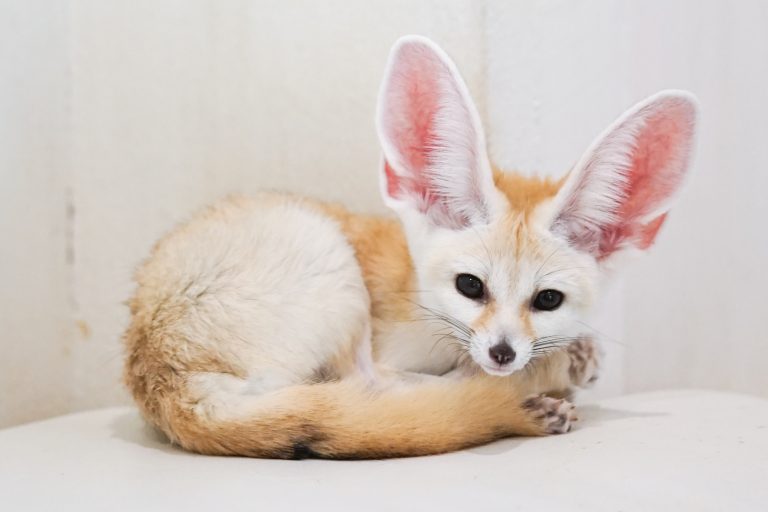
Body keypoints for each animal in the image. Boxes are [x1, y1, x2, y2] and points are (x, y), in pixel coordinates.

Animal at [123, 35, 697, 459]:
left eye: (548, 300)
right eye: (470, 286)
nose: (504, 353)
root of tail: (162, 380)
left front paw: (576, 355)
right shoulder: (394, 347)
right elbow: (409, 382)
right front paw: (552, 373)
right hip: (331, 265)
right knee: (367, 385)